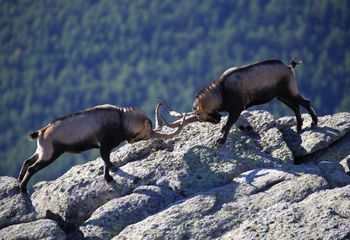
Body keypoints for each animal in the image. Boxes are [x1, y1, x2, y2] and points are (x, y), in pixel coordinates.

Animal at [18, 103, 186, 193]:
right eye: (147, 134)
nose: (134, 141)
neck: (122, 120)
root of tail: (41, 132)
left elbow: (108, 161)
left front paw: (113, 168)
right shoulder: (104, 144)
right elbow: (105, 160)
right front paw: (109, 178)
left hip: (41, 151)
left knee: (27, 161)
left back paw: (19, 181)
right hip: (50, 153)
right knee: (32, 167)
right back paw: (23, 189)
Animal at [160, 59, 318, 145]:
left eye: (199, 115)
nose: (217, 120)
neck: (221, 91)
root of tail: (289, 67)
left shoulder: (237, 108)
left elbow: (230, 124)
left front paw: (221, 141)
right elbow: (229, 124)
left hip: (288, 90)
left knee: (305, 102)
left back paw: (314, 122)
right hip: (281, 96)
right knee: (296, 107)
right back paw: (299, 127)